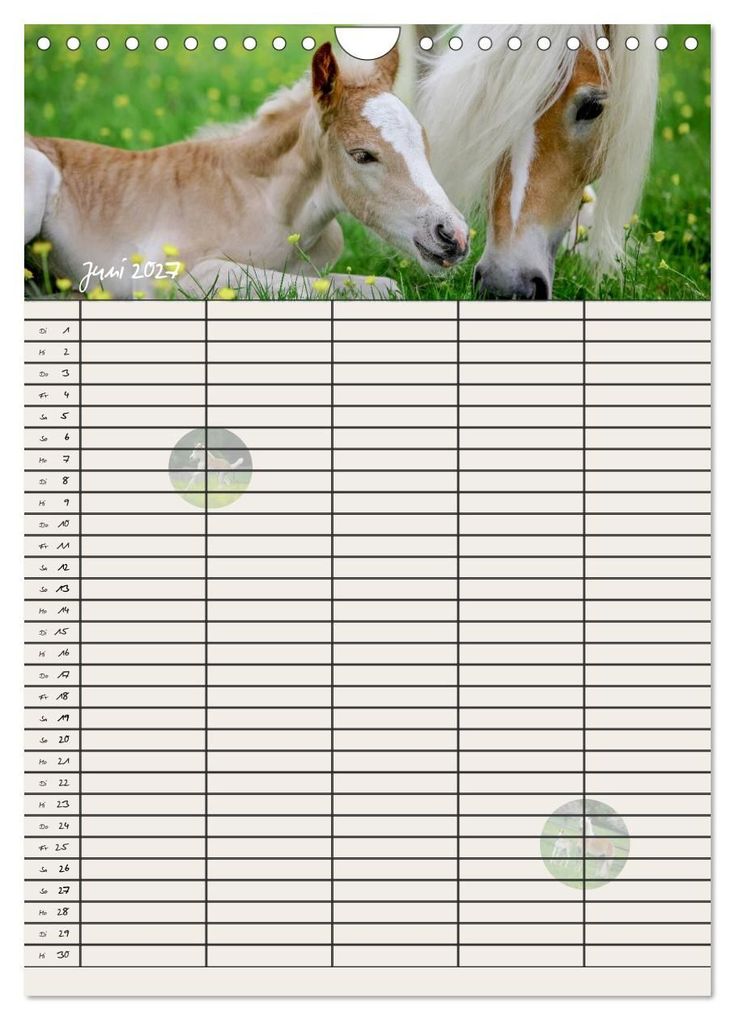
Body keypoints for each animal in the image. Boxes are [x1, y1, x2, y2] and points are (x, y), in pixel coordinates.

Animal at [25, 42, 468, 300]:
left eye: (423, 143)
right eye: (361, 155)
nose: (454, 236)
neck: (271, 210)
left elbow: (376, 289)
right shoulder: (169, 276)